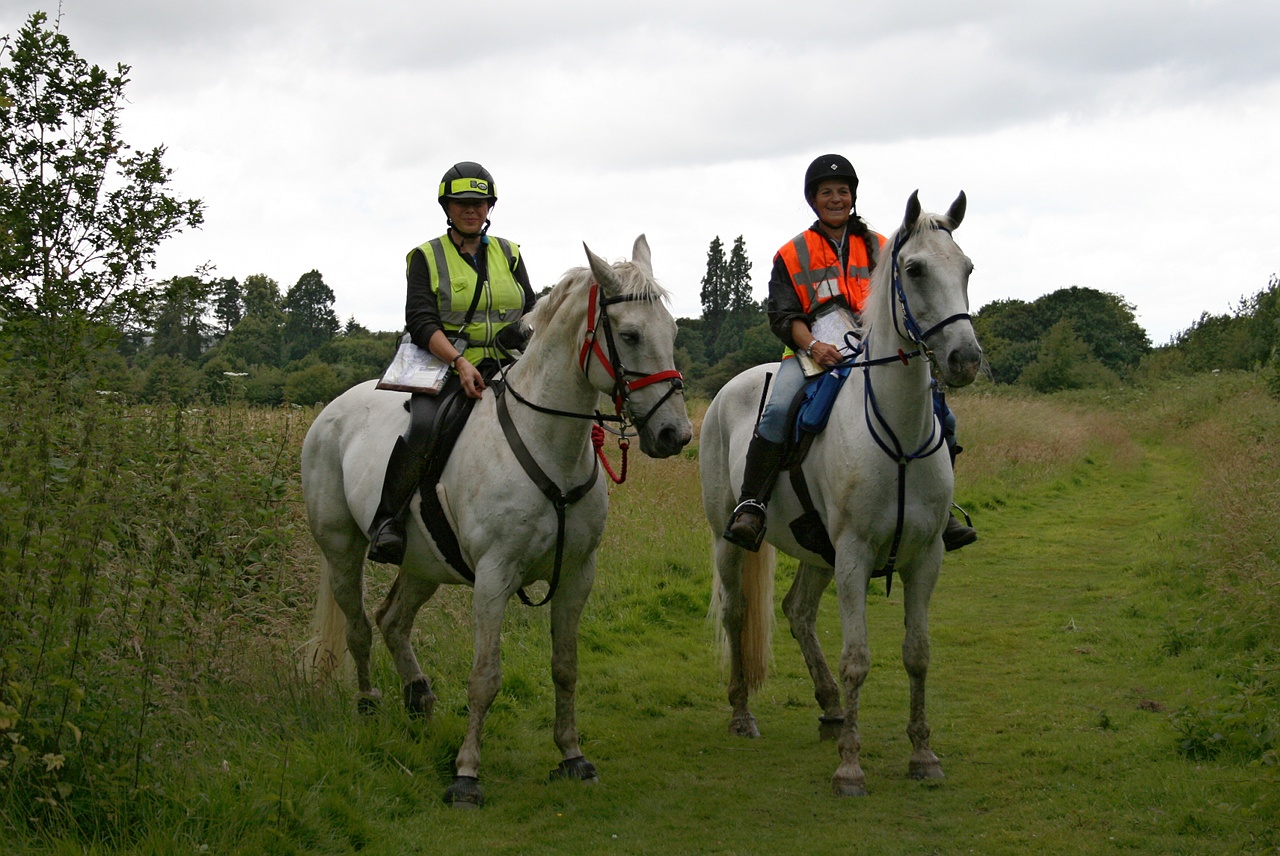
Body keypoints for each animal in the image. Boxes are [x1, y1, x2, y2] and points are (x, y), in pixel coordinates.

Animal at [299, 235, 691, 808]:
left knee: (392, 620)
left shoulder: (577, 576)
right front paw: (466, 775)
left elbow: (566, 667)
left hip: (424, 563)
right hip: (342, 550)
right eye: (631, 335)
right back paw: (369, 703)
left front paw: (572, 756)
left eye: (673, 331)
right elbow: (484, 677)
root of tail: (331, 411)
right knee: (358, 628)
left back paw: (418, 697)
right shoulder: (493, 577)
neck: (550, 444)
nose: (673, 435)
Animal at [701, 191, 977, 793]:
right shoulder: (853, 555)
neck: (898, 435)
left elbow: (917, 654)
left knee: (798, 612)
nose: (965, 360)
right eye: (915, 269)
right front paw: (851, 766)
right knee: (737, 612)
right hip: (729, 540)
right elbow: (858, 659)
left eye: (967, 267)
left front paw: (923, 755)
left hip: (815, 551)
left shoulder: (926, 557)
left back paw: (829, 707)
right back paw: (742, 714)